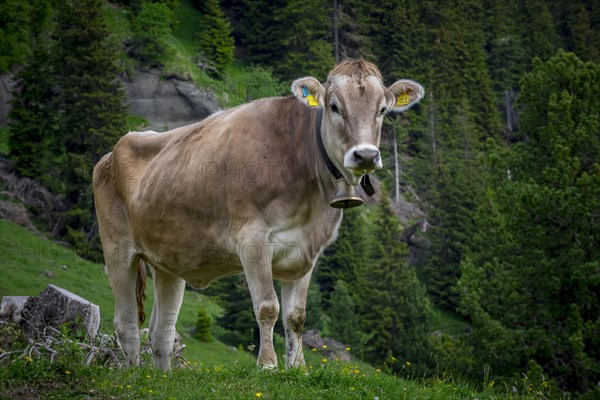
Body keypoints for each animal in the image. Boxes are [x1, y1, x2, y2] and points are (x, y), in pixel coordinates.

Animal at [91, 59, 424, 372]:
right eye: (334, 106)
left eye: (382, 109)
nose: (365, 155)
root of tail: (112, 151)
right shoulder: (252, 239)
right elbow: (267, 307)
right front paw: (267, 365)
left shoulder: (307, 250)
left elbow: (296, 316)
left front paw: (298, 368)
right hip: (118, 249)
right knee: (127, 324)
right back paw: (133, 374)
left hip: (167, 261)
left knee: (161, 332)